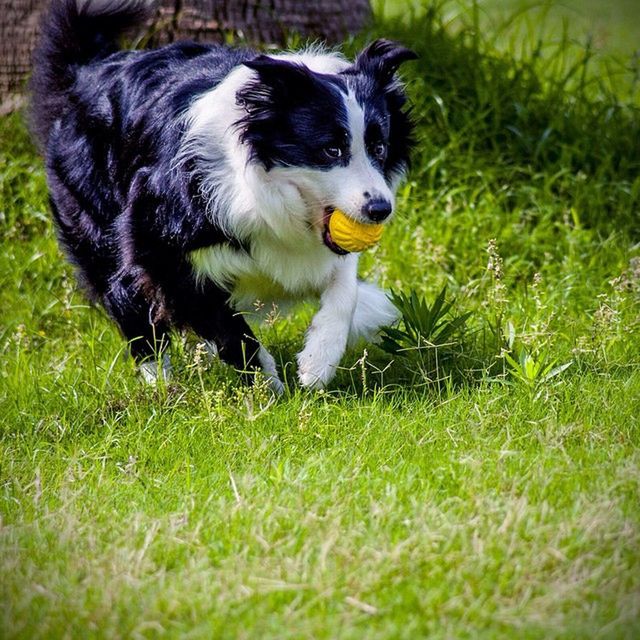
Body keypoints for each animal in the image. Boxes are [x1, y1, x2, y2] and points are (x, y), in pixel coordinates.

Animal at [32, 0, 418, 392]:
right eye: (331, 150)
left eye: (380, 147)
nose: (380, 209)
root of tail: (85, 71)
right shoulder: (155, 232)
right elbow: (213, 315)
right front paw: (268, 385)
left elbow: (344, 285)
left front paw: (317, 363)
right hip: (92, 209)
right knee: (126, 295)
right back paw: (162, 387)